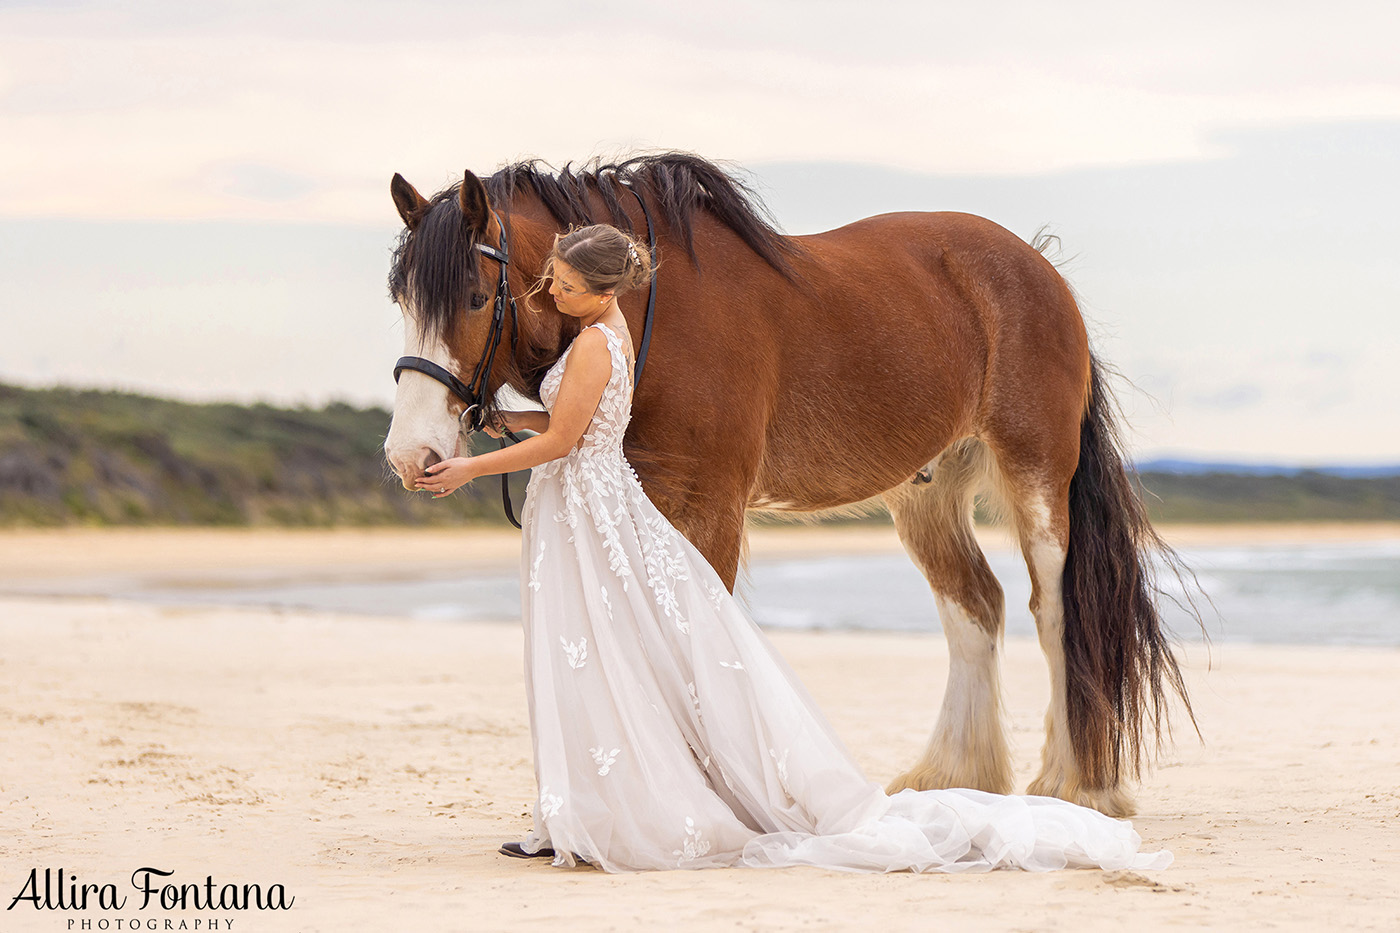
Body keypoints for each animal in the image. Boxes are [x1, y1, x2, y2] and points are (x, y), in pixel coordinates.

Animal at [380, 149, 1192, 812]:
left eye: (475, 297)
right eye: (402, 300)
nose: (411, 455)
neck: (655, 310)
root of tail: (1040, 268)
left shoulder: (710, 504)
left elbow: (695, 632)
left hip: (1035, 474)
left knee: (1052, 610)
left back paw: (1078, 783)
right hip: (925, 492)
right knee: (974, 608)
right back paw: (954, 775)